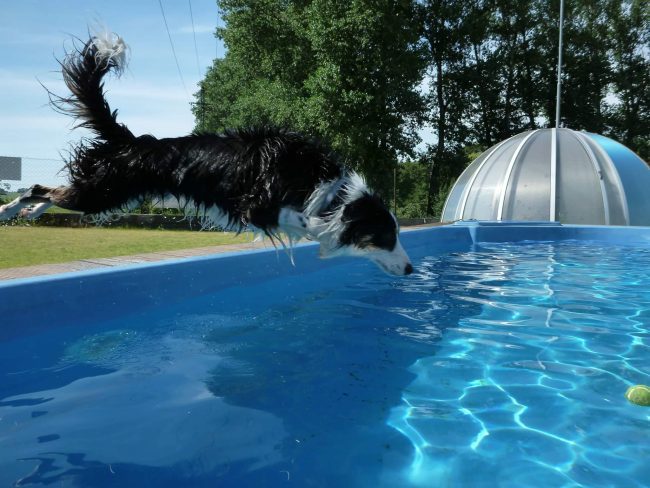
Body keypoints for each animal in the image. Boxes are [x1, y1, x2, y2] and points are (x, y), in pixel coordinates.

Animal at [0, 32, 412, 276]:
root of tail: (131, 142)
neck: (326, 188)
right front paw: (328, 238)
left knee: (52, 192)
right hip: (103, 191)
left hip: (107, 194)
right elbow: (309, 223)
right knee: (39, 187)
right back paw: (8, 209)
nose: (410, 269)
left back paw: (32, 212)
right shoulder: (258, 206)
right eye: (385, 236)